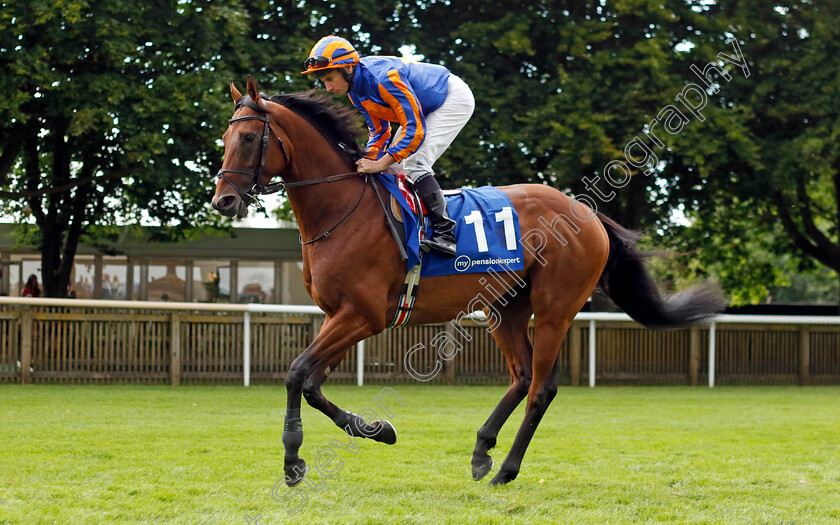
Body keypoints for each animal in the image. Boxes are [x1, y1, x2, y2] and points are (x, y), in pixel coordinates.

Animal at [213, 75, 724, 486]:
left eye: (249, 136)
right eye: (225, 136)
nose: (223, 200)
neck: (342, 209)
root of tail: (588, 213)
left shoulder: (362, 316)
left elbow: (298, 373)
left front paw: (293, 462)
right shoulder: (339, 316)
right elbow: (313, 383)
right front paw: (378, 430)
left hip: (555, 309)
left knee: (541, 388)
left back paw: (506, 470)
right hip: (504, 308)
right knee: (521, 377)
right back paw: (481, 452)